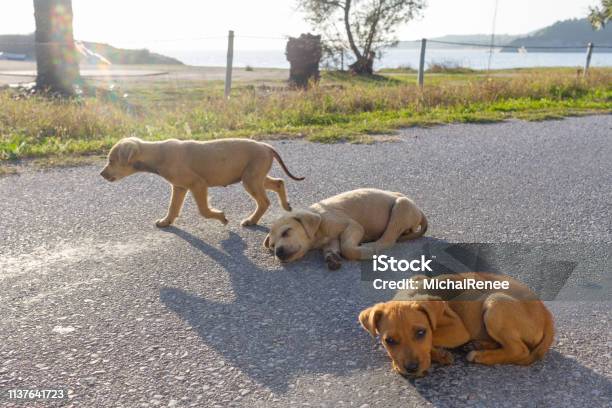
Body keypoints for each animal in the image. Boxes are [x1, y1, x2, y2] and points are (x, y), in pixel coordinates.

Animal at [99, 137, 304, 226]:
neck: (157, 154)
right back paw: (286, 205)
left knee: (264, 202)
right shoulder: (179, 187)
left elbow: (204, 211)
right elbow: (173, 208)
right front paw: (165, 222)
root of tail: (267, 146)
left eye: (111, 161)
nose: (101, 174)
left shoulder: (197, 184)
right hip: (254, 176)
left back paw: (251, 220)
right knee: (279, 182)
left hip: (250, 179)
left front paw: (221, 217)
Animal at [262, 189, 426, 270]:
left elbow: (347, 248)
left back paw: (372, 247)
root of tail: (419, 210)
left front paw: (362, 252)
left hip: (401, 206)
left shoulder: (353, 226)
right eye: (272, 245)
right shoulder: (331, 240)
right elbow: (332, 248)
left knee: (389, 238)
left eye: (286, 232)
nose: (278, 252)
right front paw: (331, 257)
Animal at [358, 272, 556, 378]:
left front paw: (436, 354)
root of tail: (547, 314)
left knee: (519, 350)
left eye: (421, 332)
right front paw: (439, 355)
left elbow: (433, 337)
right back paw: (479, 345)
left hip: (495, 302)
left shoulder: (458, 329)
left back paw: (480, 355)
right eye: (389, 341)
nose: (411, 369)